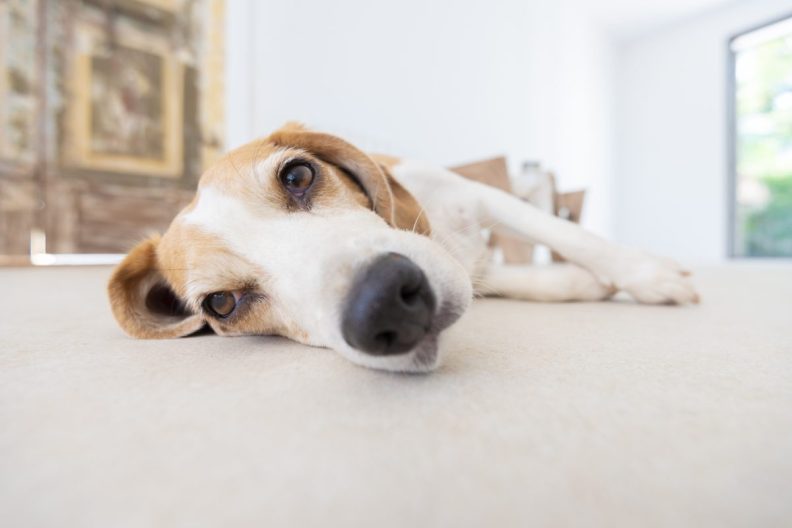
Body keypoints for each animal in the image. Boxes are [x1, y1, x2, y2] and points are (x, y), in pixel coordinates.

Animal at [108, 122, 696, 374]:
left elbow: (568, 235)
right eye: (221, 304)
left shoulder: (479, 196)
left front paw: (647, 274)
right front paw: (580, 281)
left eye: (298, 174)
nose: (382, 304)